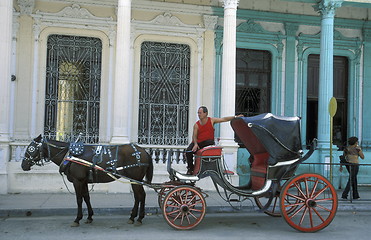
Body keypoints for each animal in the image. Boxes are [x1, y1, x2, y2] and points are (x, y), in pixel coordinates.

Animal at [20, 135, 154, 227]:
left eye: (31, 148)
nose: (23, 165)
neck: (69, 155)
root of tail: (145, 151)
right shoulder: (83, 181)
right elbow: (86, 198)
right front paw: (89, 216)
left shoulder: (77, 181)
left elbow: (79, 199)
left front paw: (77, 219)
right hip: (135, 180)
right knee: (138, 196)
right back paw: (133, 217)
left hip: (136, 179)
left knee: (141, 195)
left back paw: (139, 218)